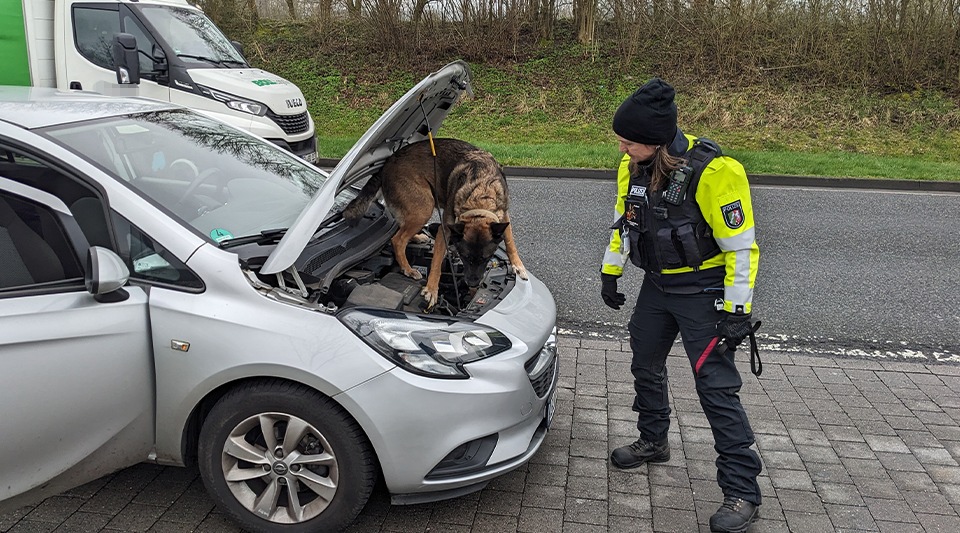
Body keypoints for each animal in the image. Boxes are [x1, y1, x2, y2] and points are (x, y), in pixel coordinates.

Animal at [344, 137, 528, 310]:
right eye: (464, 257)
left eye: (487, 258)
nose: (473, 284)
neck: (480, 193)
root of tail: (387, 163)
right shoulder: (445, 229)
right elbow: (436, 263)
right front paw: (432, 290)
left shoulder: (503, 216)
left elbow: (510, 242)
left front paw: (518, 265)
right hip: (425, 207)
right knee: (398, 240)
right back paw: (408, 269)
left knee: (401, 227)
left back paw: (417, 237)